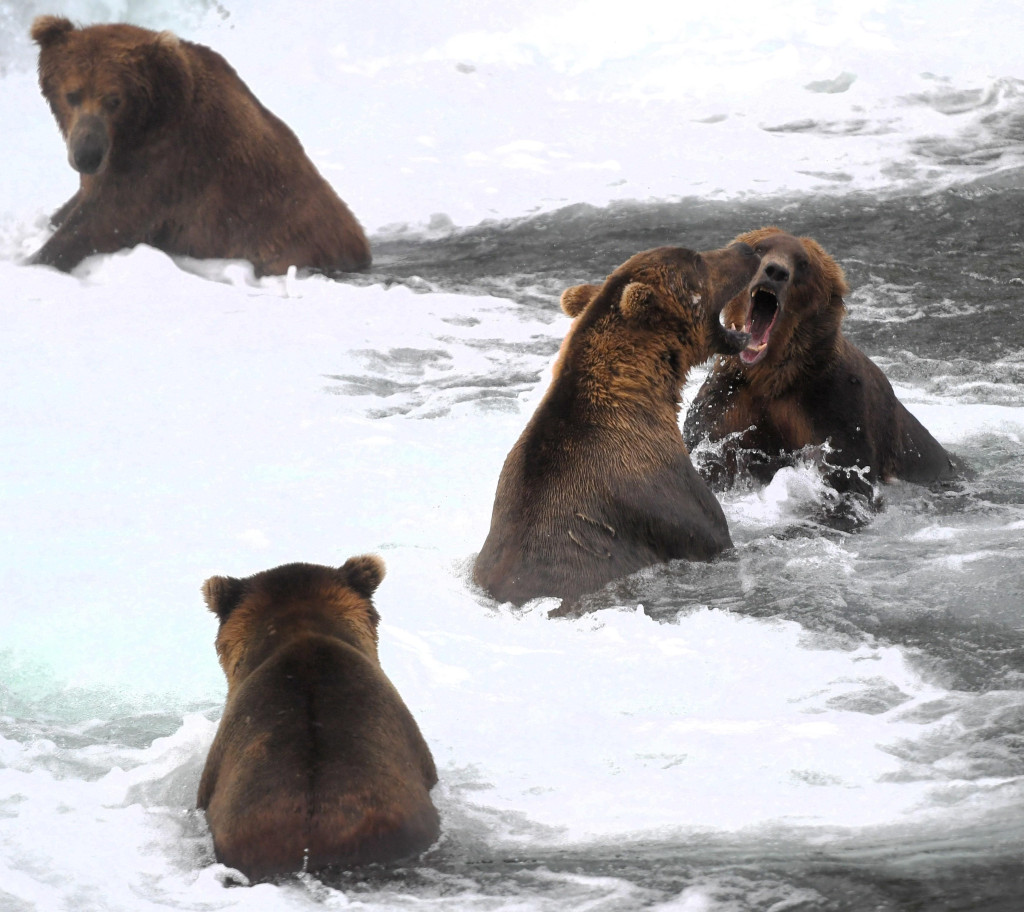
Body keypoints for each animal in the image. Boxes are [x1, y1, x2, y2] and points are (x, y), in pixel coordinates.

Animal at [28, 16, 371, 276]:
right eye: (72, 94)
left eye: (115, 100)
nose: (86, 156)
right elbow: (75, 207)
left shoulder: (164, 165)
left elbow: (102, 220)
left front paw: (37, 260)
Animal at [683, 227, 962, 498]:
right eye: (760, 248)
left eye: (803, 263)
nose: (776, 271)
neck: (770, 375)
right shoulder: (727, 401)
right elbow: (709, 449)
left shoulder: (833, 406)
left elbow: (847, 472)